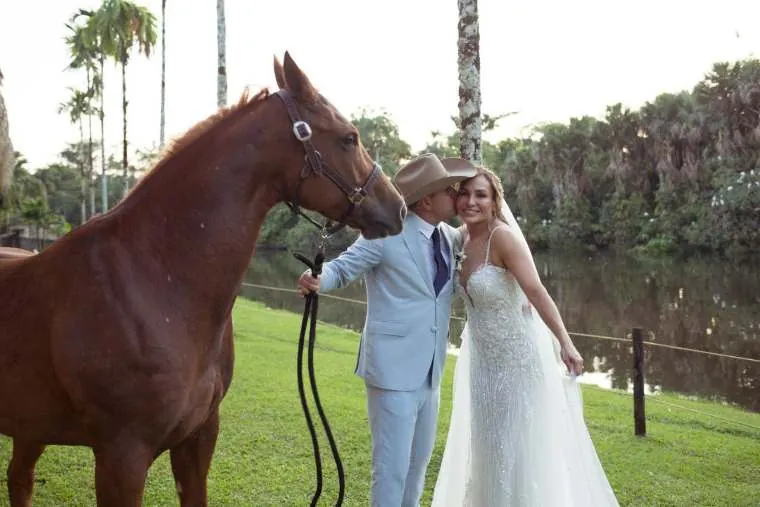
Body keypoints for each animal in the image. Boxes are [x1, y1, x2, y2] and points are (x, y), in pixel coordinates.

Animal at [0, 52, 406, 506]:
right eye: (349, 138)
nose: (398, 207)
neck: (154, 283)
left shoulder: (198, 439)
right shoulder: (121, 457)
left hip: (30, 426)